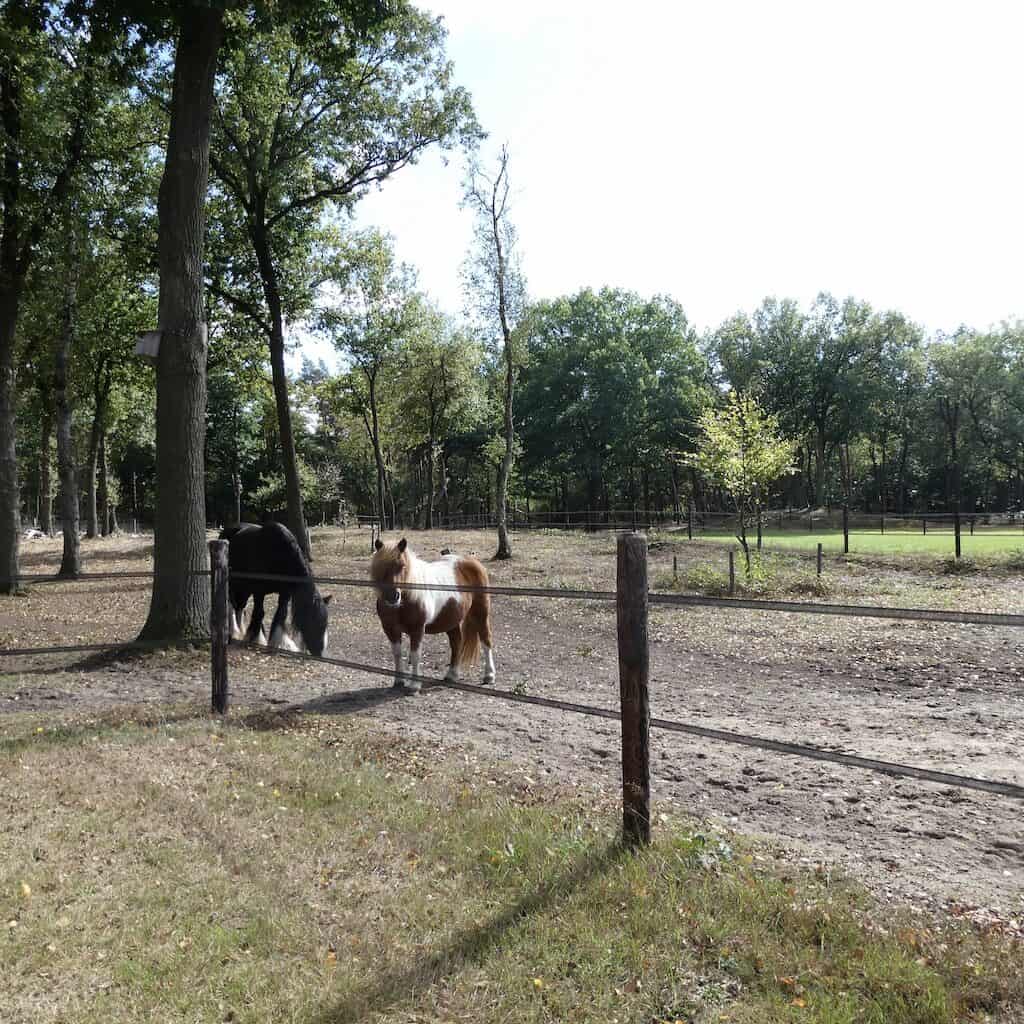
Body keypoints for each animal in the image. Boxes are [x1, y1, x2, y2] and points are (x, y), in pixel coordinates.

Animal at [220, 522, 331, 656]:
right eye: (313, 620)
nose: (319, 653)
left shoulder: (285, 593)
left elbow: (281, 614)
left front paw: (279, 644)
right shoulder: (259, 591)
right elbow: (259, 613)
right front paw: (256, 640)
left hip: (244, 588)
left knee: (240, 607)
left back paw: (241, 631)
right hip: (233, 584)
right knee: (232, 604)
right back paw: (234, 632)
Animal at [370, 537, 495, 694]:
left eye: (402, 566)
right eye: (381, 566)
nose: (393, 597)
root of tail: (471, 561)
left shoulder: (417, 629)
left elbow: (415, 655)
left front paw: (414, 686)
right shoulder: (390, 629)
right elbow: (397, 653)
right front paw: (398, 681)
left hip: (480, 613)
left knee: (486, 640)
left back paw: (489, 676)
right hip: (451, 620)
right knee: (456, 643)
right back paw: (452, 675)